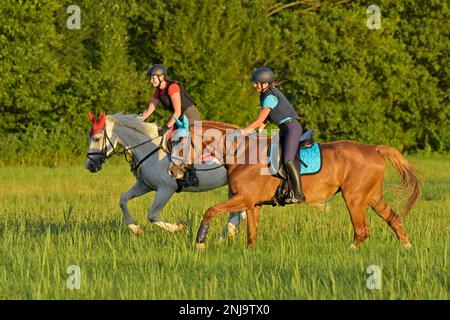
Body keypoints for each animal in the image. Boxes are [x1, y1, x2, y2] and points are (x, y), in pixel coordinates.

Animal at [169, 121, 422, 249]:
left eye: (180, 141)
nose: (172, 171)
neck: (242, 152)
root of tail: (373, 148)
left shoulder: (244, 199)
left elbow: (210, 211)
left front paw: (200, 242)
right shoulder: (252, 204)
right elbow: (251, 233)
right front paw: (249, 254)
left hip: (355, 198)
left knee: (362, 230)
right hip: (372, 196)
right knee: (393, 218)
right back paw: (407, 248)